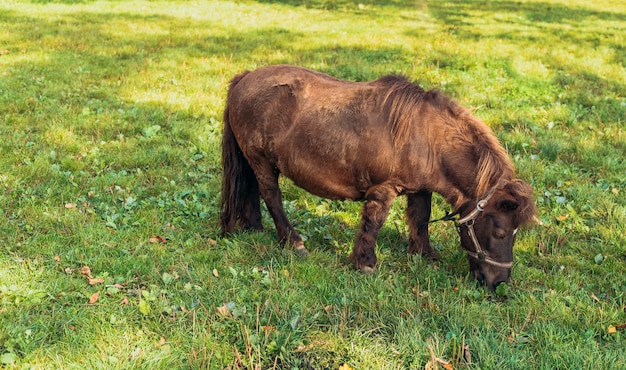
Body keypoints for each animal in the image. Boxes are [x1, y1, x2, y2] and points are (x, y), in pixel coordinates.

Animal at [217, 65, 532, 290]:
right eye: (501, 231)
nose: (498, 283)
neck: (426, 137)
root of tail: (244, 78)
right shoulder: (384, 190)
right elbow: (374, 223)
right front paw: (365, 263)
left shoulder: (420, 189)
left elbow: (420, 218)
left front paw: (424, 255)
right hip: (260, 160)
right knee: (271, 195)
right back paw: (293, 241)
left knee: (254, 191)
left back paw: (255, 227)